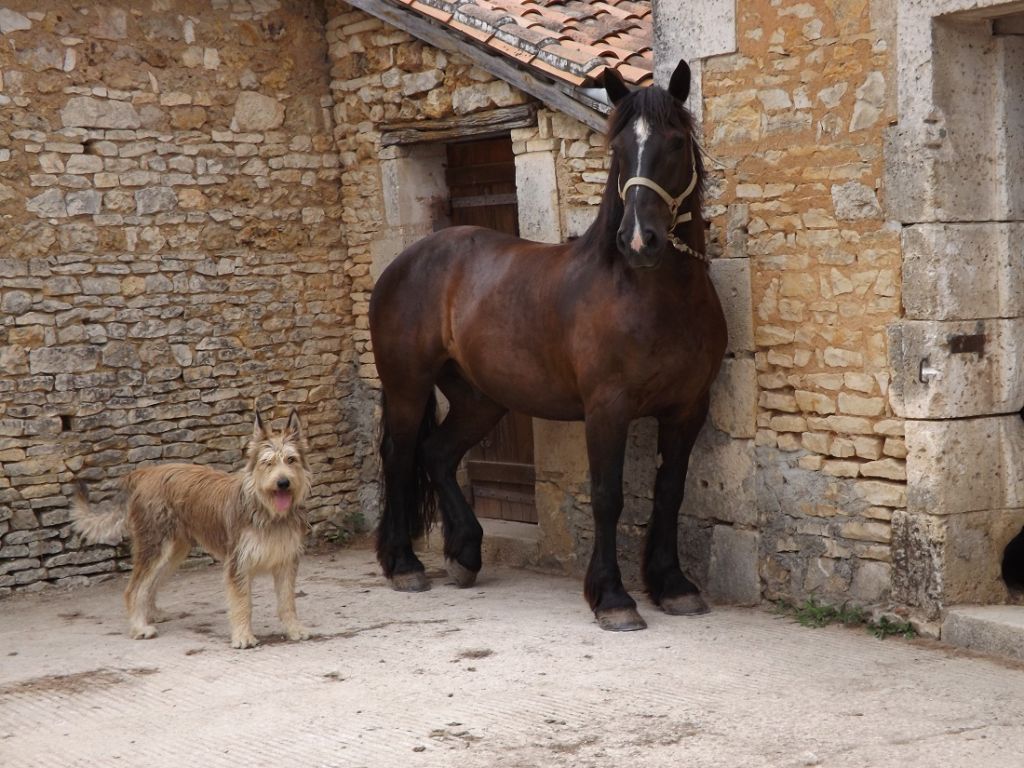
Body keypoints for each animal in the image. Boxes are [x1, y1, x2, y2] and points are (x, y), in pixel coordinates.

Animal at [72, 409, 311, 651]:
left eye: (291, 460)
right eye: (267, 462)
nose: (283, 483)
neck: (267, 510)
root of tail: (144, 473)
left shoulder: (286, 561)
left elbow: (288, 602)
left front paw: (294, 629)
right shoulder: (238, 563)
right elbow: (242, 603)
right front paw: (243, 636)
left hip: (173, 552)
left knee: (150, 584)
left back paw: (152, 614)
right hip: (154, 546)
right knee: (134, 589)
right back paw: (140, 627)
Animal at [368, 61, 729, 630]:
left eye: (674, 142)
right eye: (618, 147)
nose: (639, 241)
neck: (649, 295)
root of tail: (405, 262)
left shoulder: (688, 408)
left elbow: (670, 492)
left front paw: (673, 586)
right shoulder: (607, 408)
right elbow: (607, 497)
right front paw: (613, 598)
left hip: (481, 399)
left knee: (437, 453)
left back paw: (464, 553)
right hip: (407, 387)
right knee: (401, 456)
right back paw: (404, 564)